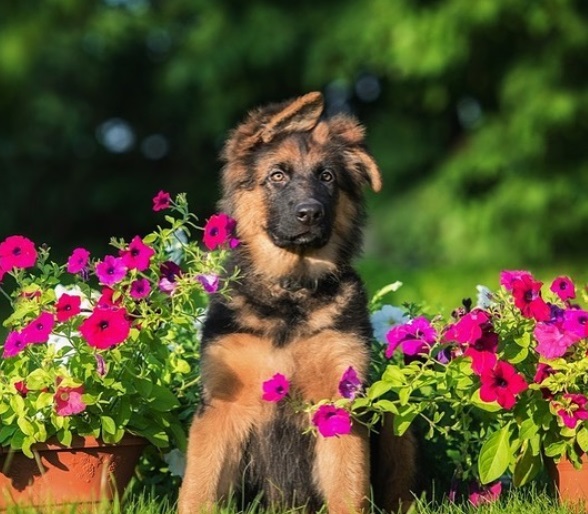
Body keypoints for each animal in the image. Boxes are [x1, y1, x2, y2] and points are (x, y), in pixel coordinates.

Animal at [179, 93, 418, 512]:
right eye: (277, 175)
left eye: (328, 177)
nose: (310, 213)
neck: (290, 293)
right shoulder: (222, 407)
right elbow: (198, 488)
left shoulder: (338, 402)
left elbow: (347, 490)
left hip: (394, 417)